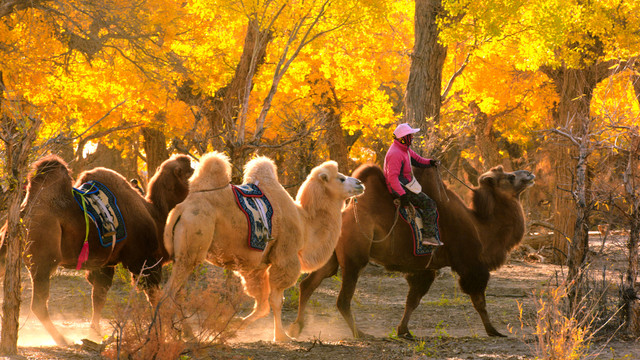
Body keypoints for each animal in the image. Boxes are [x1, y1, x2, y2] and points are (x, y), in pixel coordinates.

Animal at [0, 154, 192, 346]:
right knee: (38, 304)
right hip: (44, 257)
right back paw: (63, 340)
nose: (190, 161)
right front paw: (167, 333)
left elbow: (99, 296)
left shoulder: (104, 264)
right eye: (189, 173)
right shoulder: (143, 261)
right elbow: (155, 297)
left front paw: (94, 334)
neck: (155, 215)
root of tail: (22, 214)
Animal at [161, 150, 364, 342]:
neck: (305, 222)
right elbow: (276, 300)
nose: (360, 183)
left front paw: (228, 326)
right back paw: (170, 335)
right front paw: (282, 336)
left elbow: (262, 305)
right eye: (341, 178)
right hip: (192, 245)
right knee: (169, 293)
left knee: (177, 294)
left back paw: (186, 334)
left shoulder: (257, 267)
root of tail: (181, 209)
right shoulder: (285, 257)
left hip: (184, 254)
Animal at [290, 165, 536, 338]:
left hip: (330, 256)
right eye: (510, 177)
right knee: (342, 299)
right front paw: (493, 330)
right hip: (354, 259)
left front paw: (404, 331)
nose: (529, 173)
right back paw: (360, 334)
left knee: (308, 284)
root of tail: (342, 213)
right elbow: (479, 301)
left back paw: (297, 327)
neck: (480, 227)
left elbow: (413, 300)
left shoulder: (424, 268)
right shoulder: (470, 265)